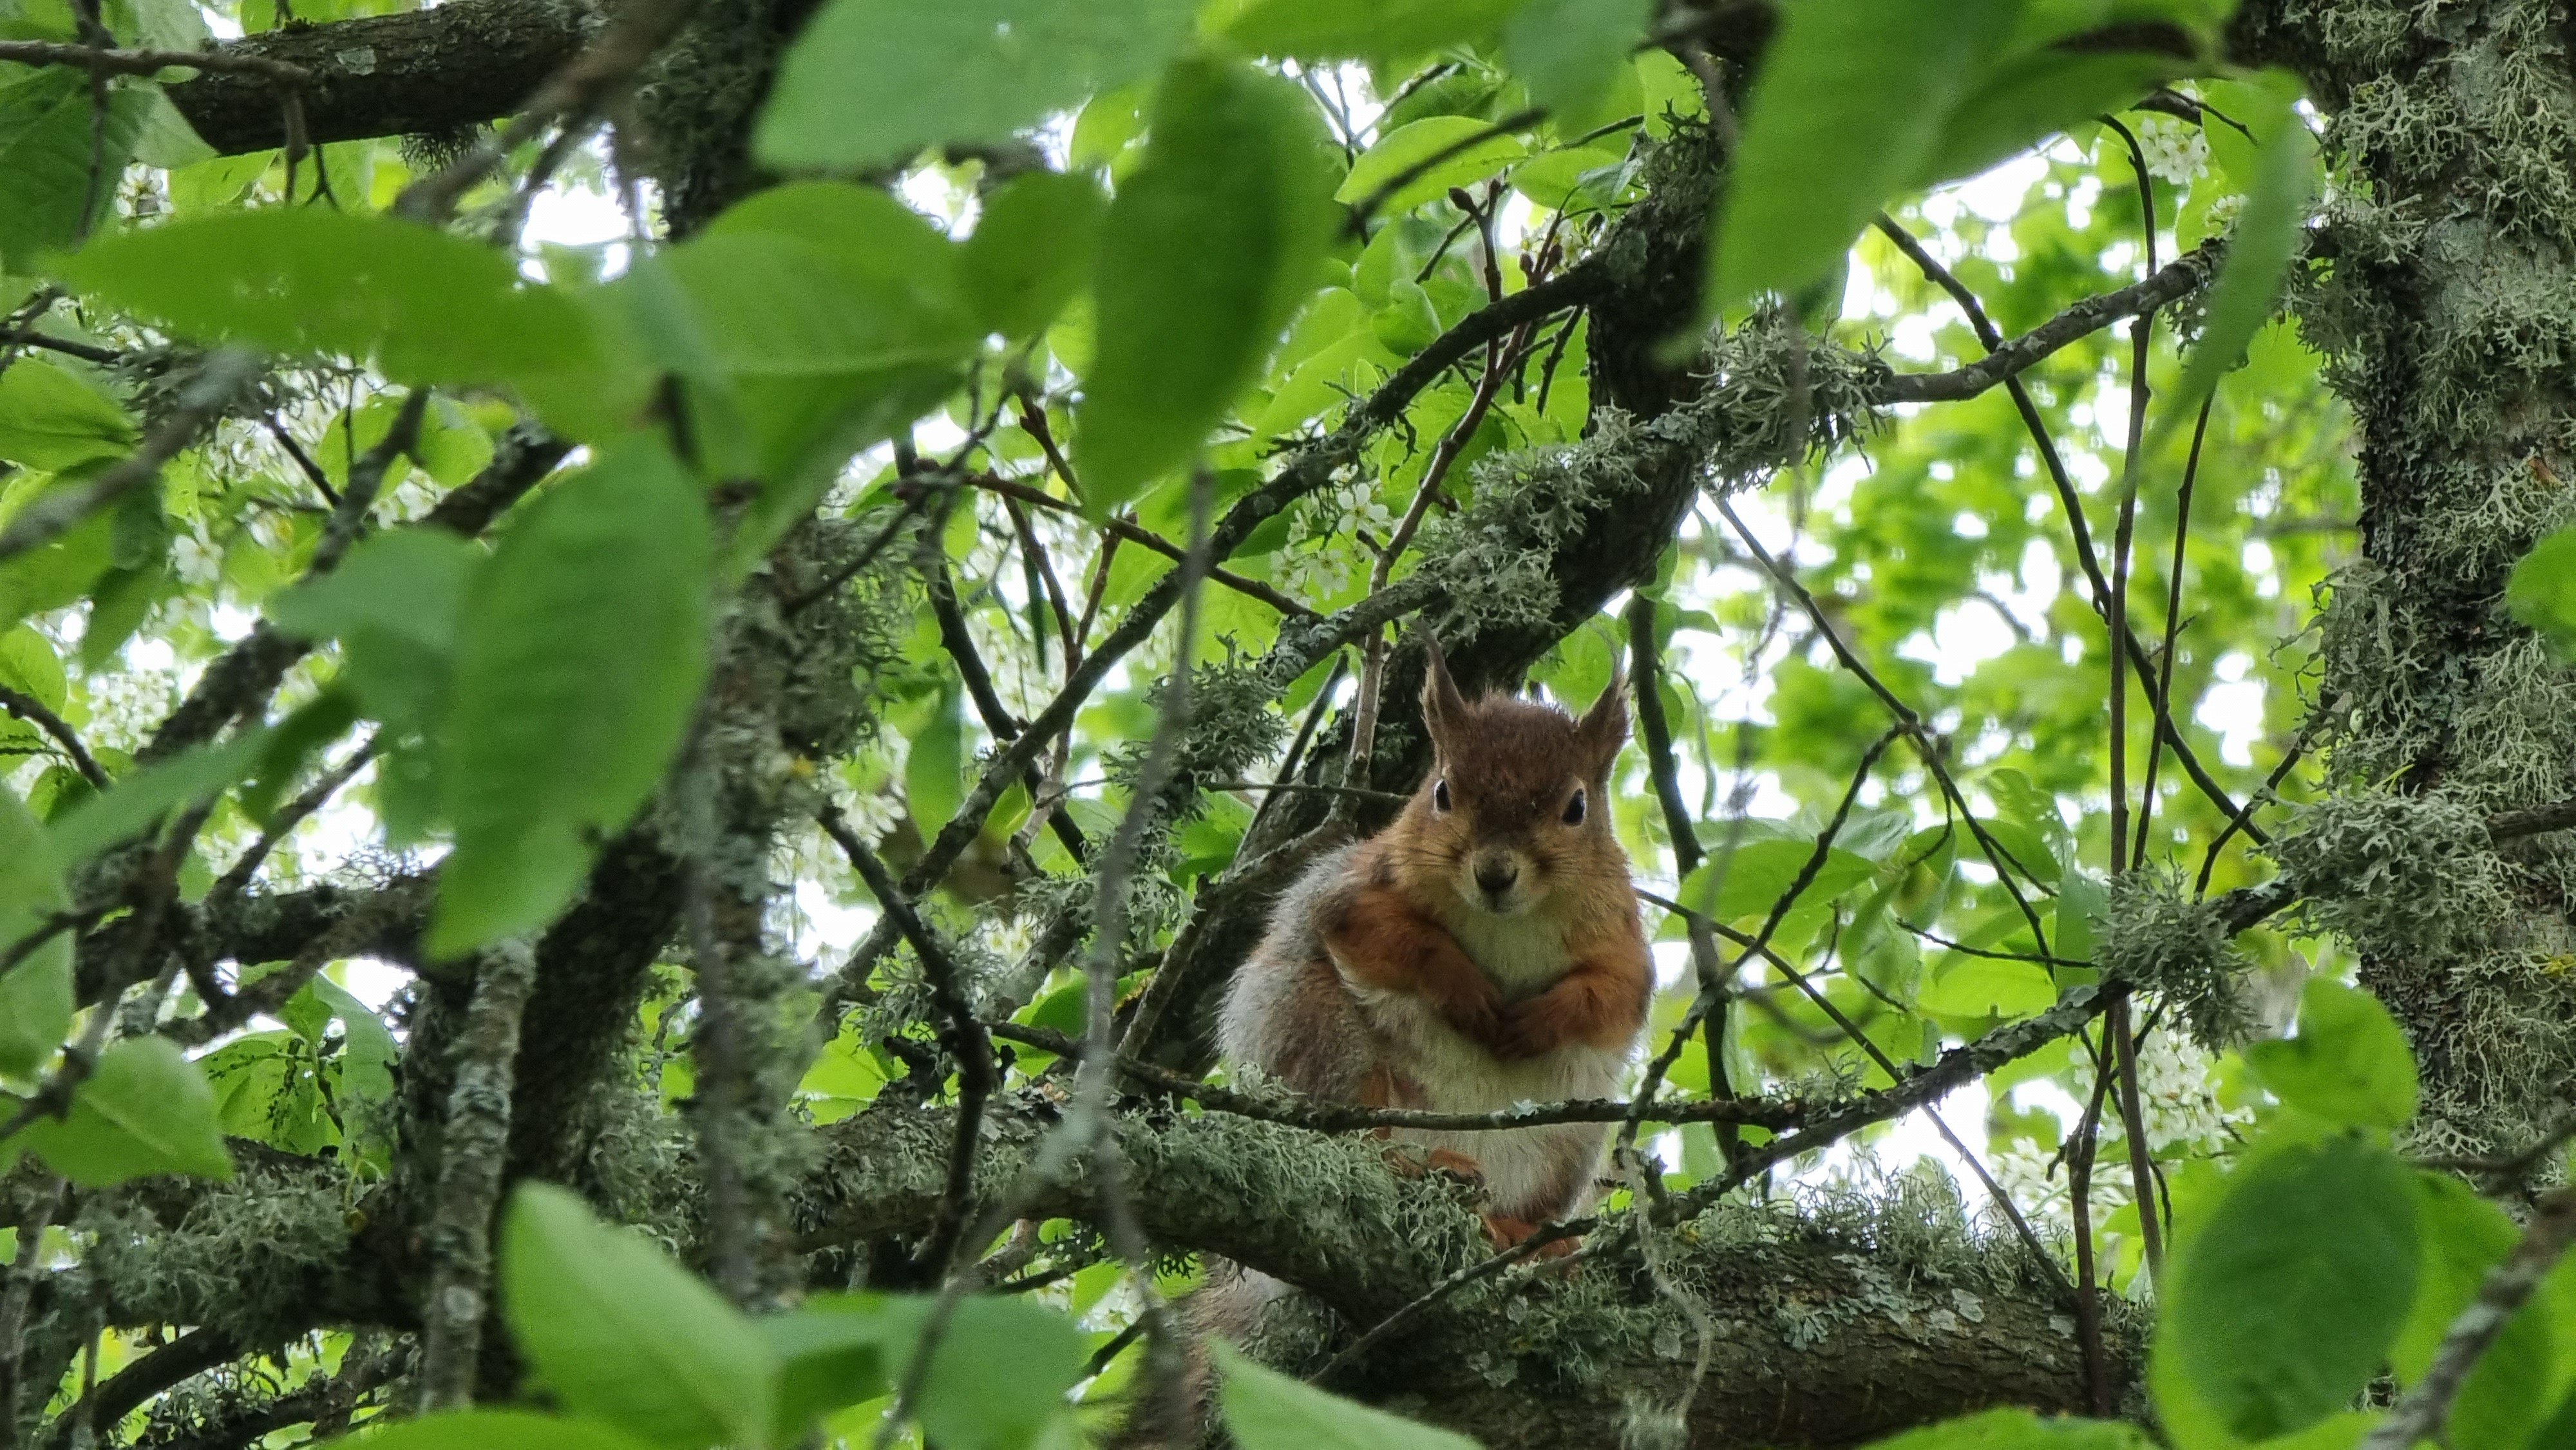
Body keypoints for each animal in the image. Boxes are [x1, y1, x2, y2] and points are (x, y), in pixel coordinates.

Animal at [1219, 641, 1653, 1247]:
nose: (1494, 874)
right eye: (1443, 793)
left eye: (1577, 807)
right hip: (1322, 1037)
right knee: (1356, 1133)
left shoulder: (1621, 938)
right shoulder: (1358, 891)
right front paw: (1465, 989)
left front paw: (1538, 1021)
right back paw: (1417, 1166)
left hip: (1571, 1136)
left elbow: (1613, 996)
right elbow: (1388, 938)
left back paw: (1525, 1232)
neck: (1510, 921)